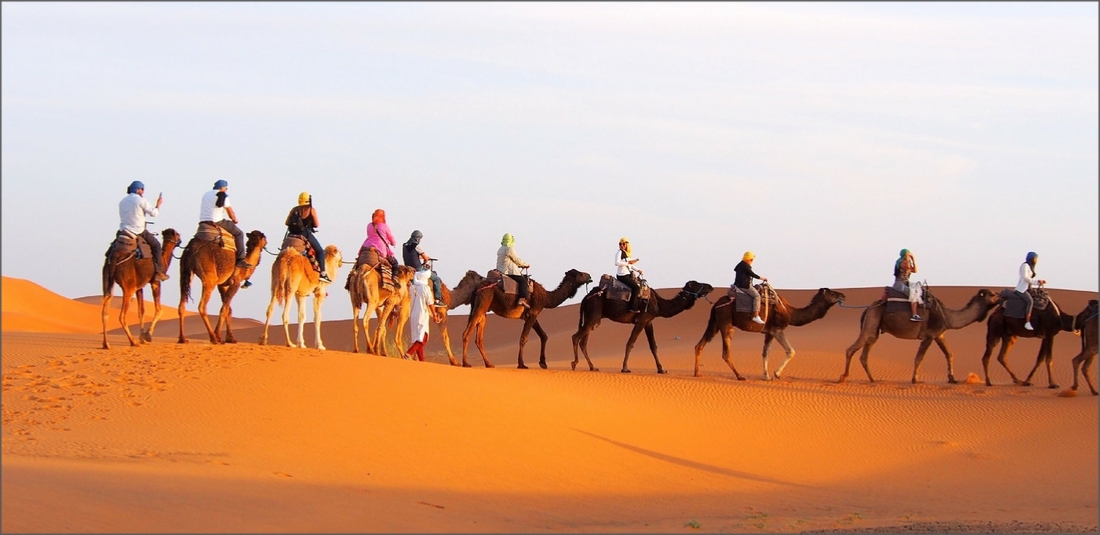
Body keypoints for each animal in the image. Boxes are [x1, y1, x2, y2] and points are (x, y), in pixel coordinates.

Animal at [459, 269, 594, 369]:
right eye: (581, 274)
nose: (589, 276)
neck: (546, 297)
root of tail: (477, 288)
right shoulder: (533, 313)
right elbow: (524, 338)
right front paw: (522, 364)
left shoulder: (530, 315)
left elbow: (544, 335)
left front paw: (543, 363)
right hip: (483, 302)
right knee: (466, 333)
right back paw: (465, 363)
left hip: (481, 309)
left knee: (478, 338)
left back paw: (489, 364)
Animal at [572, 277, 717, 374]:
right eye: (697, 284)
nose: (710, 286)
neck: (659, 303)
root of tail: (586, 297)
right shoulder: (642, 319)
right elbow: (630, 343)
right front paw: (625, 368)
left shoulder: (649, 321)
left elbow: (653, 346)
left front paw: (661, 369)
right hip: (594, 313)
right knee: (576, 337)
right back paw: (574, 363)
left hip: (592, 317)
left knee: (583, 341)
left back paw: (593, 367)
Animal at [690, 288, 844, 380]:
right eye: (832, 293)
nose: (843, 295)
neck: (790, 311)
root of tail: (716, 304)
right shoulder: (777, 329)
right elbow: (791, 351)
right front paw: (776, 374)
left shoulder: (769, 332)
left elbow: (765, 353)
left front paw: (766, 376)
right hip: (725, 320)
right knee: (725, 352)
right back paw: (740, 376)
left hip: (715, 322)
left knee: (700, 345)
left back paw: (697, 373)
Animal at [836, 288, 1003, 385]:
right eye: (993, 294)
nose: (1003, 296)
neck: (948, 316)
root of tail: (868, 309)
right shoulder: (929, 335)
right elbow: (919, 357)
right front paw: (915, 379)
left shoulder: (939, 335)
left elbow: (950, 354)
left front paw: (952, 378)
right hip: (871, 323)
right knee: (851, 349)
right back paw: (843, 377)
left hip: (874, 329)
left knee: (865, 353)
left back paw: (873, 380)